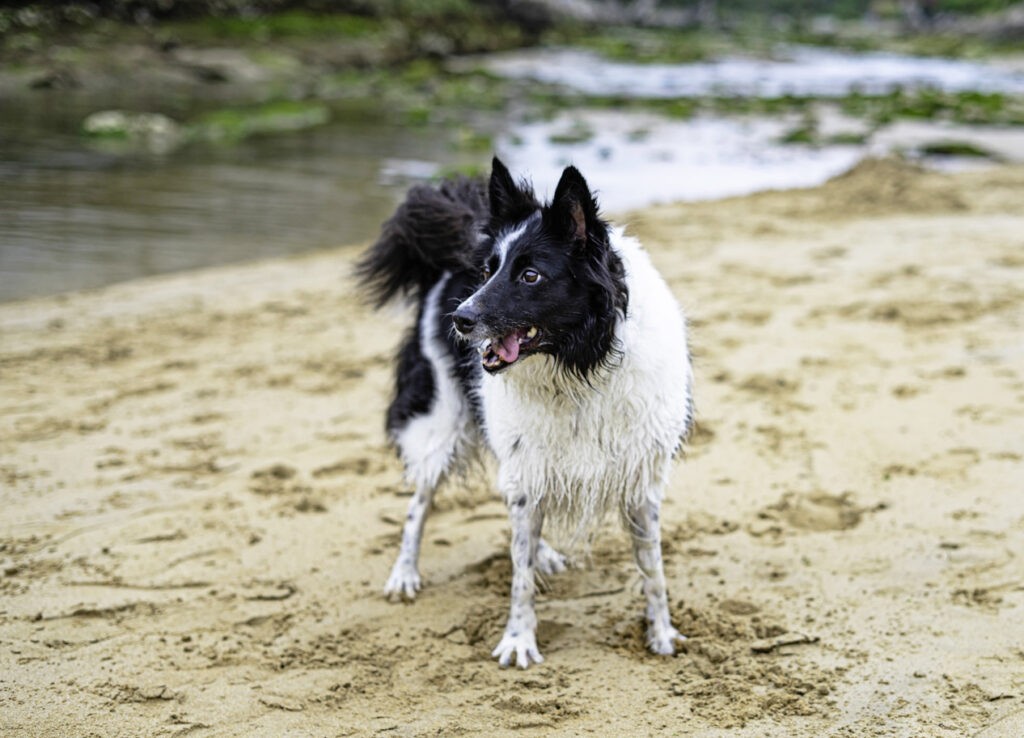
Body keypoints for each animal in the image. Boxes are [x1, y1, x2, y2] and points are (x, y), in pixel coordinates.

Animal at [354, 156, 696, 667]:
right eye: (488, 270)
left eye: (530, 275)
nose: (460, 320)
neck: (578, 365)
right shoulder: (526, 463)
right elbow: (520, 576)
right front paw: (518, 639)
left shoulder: (640, 478)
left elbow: (652, 568)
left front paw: (662, 634)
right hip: (440, 424)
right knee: (419, 505)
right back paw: (404, 573)